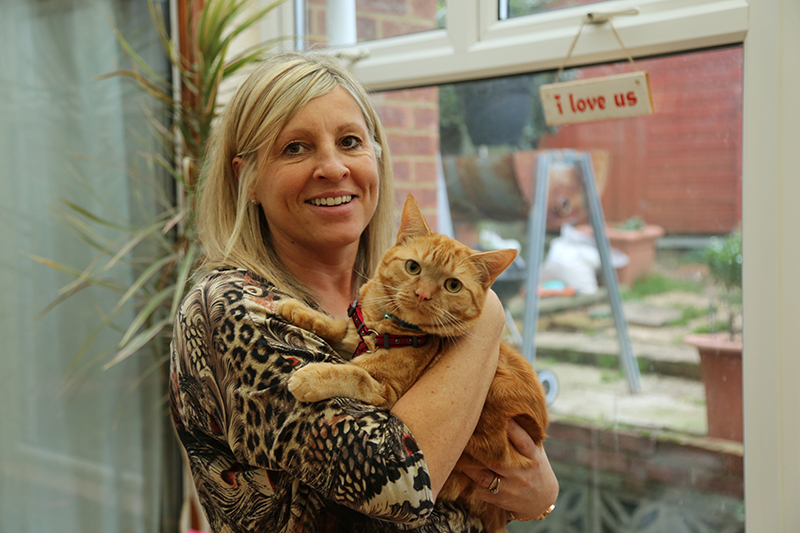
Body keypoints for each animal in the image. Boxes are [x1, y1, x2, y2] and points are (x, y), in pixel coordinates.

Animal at [278, 195, 548, 532]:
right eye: (412, 267)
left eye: (452, 285)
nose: (422, 294)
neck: (384, 328)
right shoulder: (354, 334)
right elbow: (337, 325)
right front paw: (297, 309)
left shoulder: (386, 391)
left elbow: (352, 372)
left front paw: (311, 376)